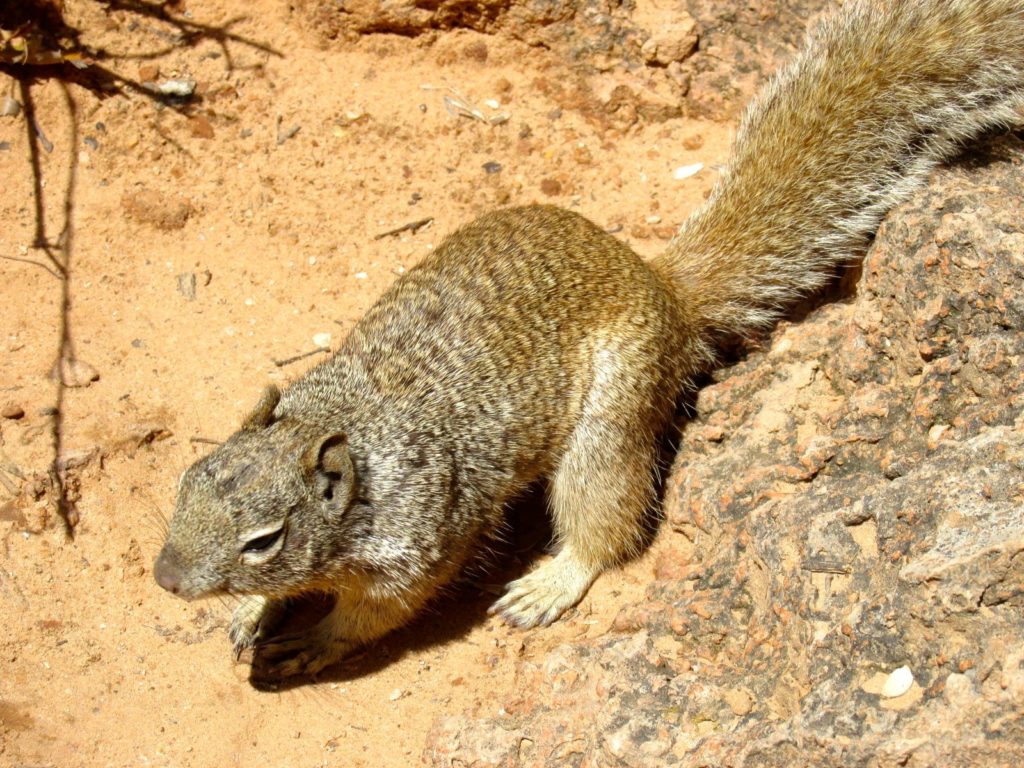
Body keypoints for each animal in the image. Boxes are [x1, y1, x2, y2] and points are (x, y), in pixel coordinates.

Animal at [154, 0, 1024, 678]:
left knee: (605, 516)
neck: (340, 431)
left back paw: (552, 581)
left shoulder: (420, 545)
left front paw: (311, 637)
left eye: (263, 540)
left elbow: (381, 613)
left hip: (612, 419)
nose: (164, 578)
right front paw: (252, 614)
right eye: (187, 484)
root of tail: (662, 288)